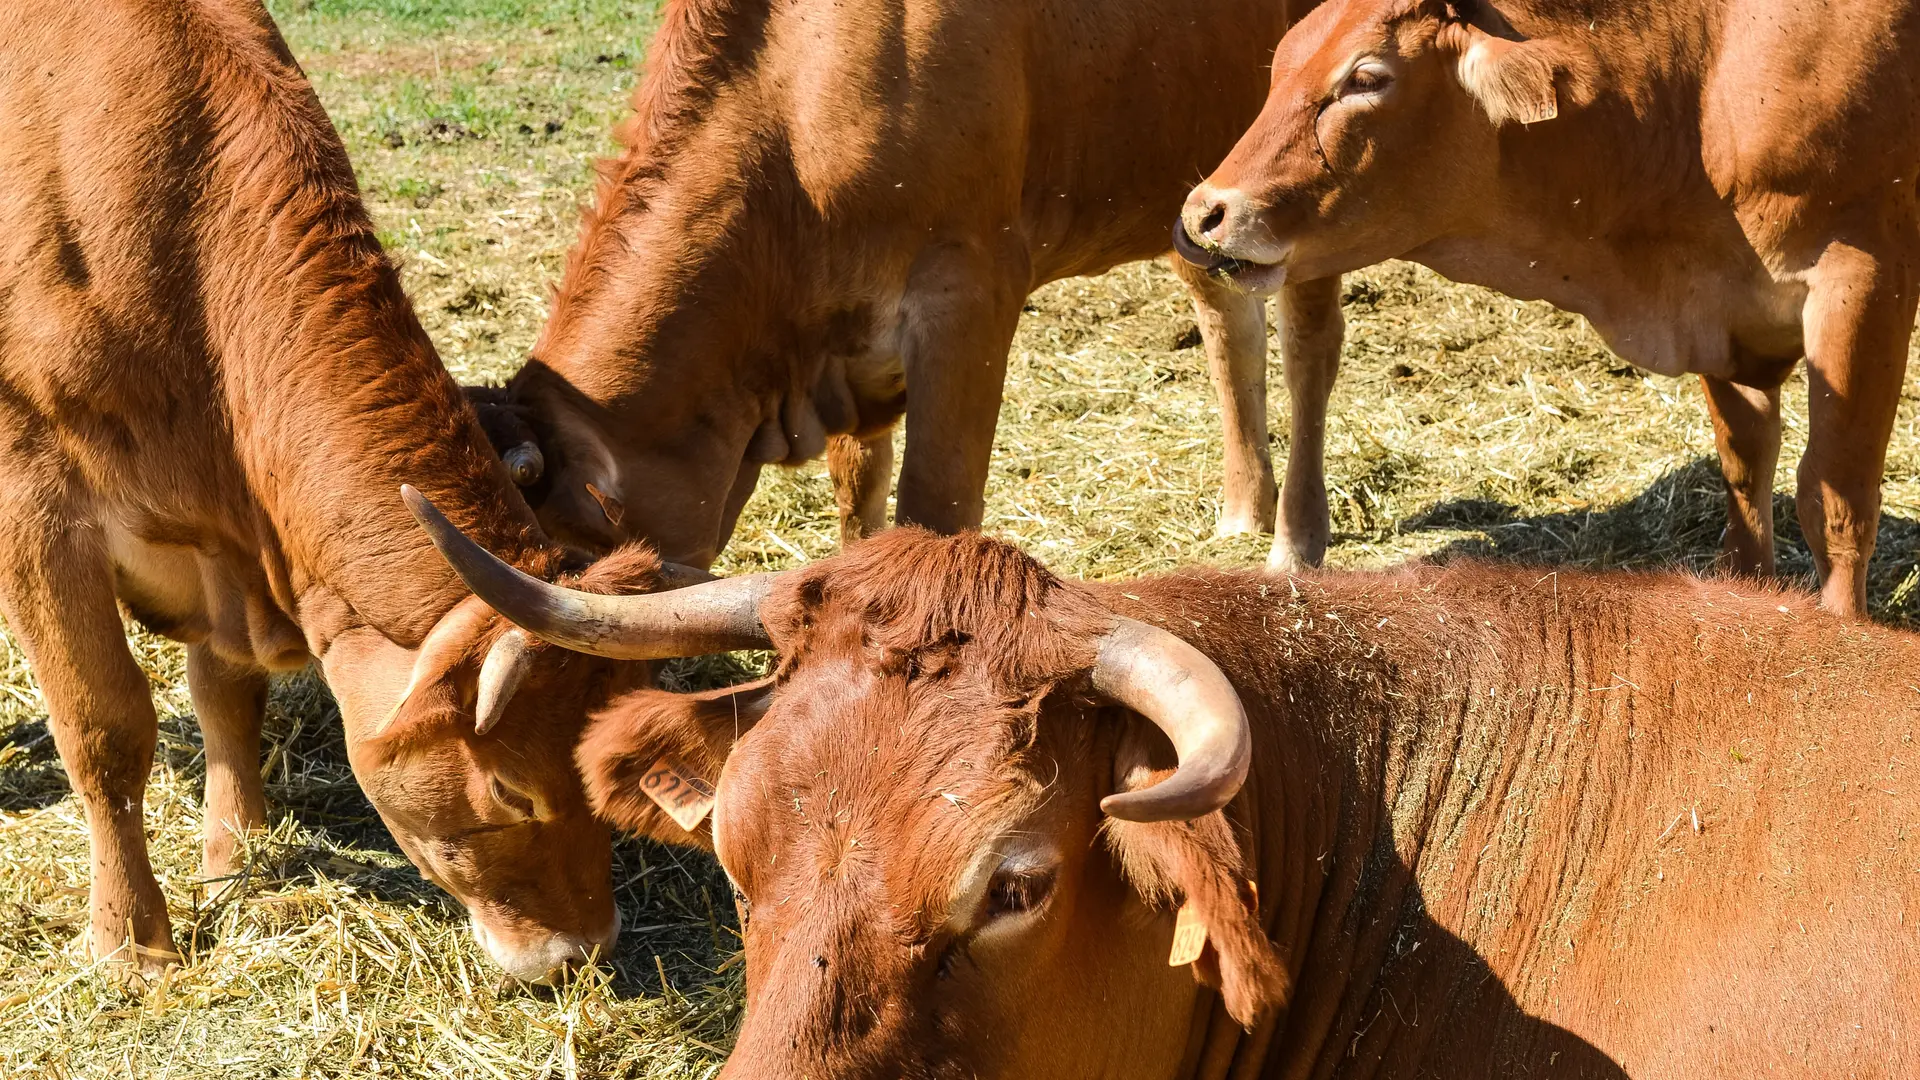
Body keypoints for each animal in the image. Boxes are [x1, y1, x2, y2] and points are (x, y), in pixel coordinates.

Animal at [0, 0, 675, 976]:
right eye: (510, 788)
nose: (579, 952)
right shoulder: (36, 503)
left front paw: (235, 853)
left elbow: (226, 697)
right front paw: (132, 940)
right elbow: (104, 728)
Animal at [491, 0, 1351, 568]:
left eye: (569, 560)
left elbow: (934, 504)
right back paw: (1244, 511)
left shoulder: (969, 289)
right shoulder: (840, 334)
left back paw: (1295, 541)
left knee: (1309, 343)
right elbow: (857, 489)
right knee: (1226, 312)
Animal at [1175, 0, 1912, 614]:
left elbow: (1834, 496)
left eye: (1365, 77)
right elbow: (1744, 469)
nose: (1204, 212)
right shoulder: (1725, 316)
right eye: (1281, 64)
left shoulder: (1864, 280)